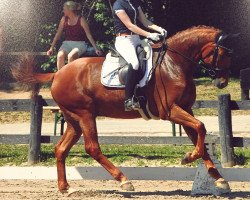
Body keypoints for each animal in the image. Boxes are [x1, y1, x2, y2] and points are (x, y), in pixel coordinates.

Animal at [12, 25, 232, 193]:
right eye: (221, 54)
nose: (222, 83)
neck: (175, 64)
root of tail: (57, 73)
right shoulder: (170, 111)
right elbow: (201, 127)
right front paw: (188, 158)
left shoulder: (186, 109)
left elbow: (199, 135)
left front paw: (218, 177)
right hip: (85, 115)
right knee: (92, 147)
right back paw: (124, 180)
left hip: (74, 120)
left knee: (61, 149)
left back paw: (65, 188)